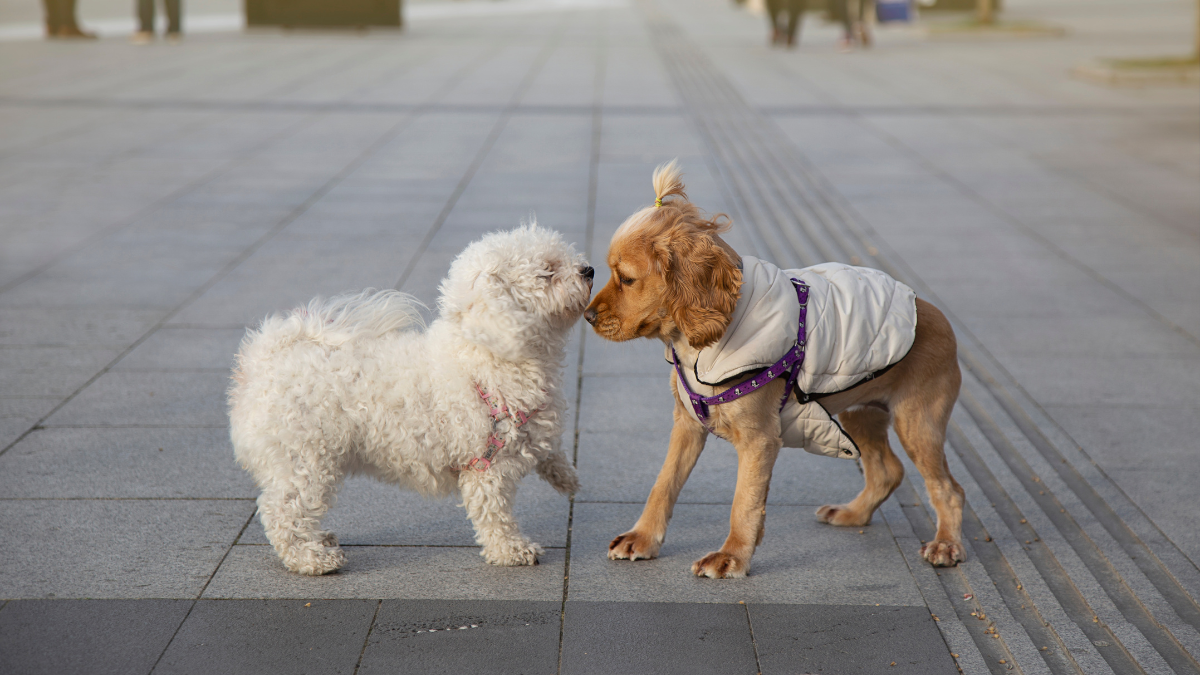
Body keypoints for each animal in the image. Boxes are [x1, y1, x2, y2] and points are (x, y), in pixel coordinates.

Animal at [228, 224, 590, 571]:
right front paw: (512, 550)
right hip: (305, 458)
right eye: (547, 271)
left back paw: (319, 540)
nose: (589, 270)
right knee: (283, 512)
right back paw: (311, 558)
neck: (486, 354)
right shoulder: (487, 466)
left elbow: (551, 451)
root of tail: (262, 361)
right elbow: (495, 516)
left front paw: (567, 477)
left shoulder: (534, 428)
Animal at [583, 164, 964, 578]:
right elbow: (664, 483)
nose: (586, 316)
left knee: (948, 488)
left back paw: (946, 545)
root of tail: (936, 313)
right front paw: (642, 538)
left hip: (918, 421)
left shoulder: (760, 438)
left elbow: (744, 502)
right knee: (887, 471)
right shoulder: (687, 423)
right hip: (860, 411)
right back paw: (852, 513)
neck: (699, 346)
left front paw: (731, 556)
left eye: (627, 279)